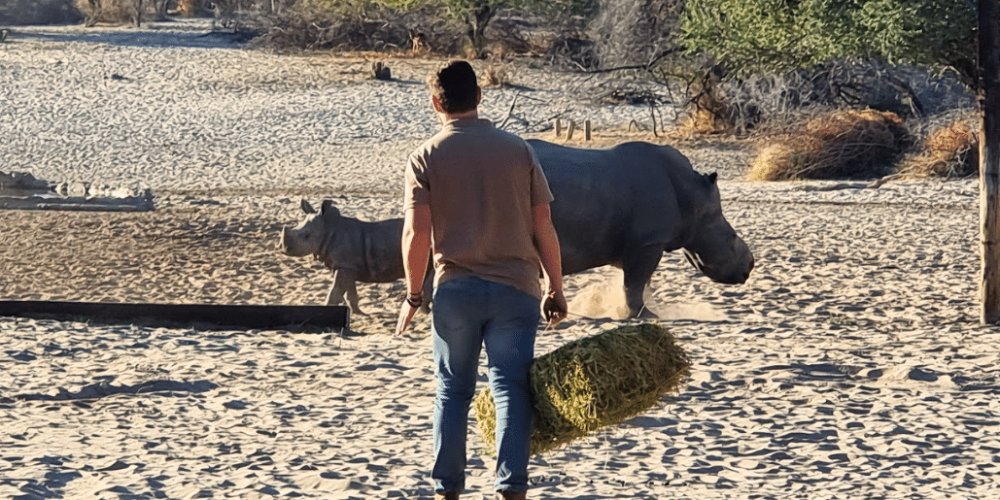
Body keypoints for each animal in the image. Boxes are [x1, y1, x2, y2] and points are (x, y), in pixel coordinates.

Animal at [280, 199, 431, 315]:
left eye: (306, 236)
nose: (283, 249)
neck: (327, 228)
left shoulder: (345, 266)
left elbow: (335, 292)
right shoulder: (347, 267)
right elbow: (350, 293)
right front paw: (358, 313)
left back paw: (424, 312)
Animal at [528, 139, 754, 318]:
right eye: (733, 237)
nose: (751, 265)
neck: (694, 198)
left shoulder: (641, 243)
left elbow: (641, 283)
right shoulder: (649, 241)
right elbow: (634, 284)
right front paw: (645, 315)